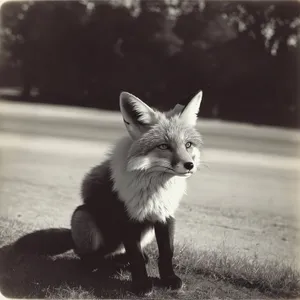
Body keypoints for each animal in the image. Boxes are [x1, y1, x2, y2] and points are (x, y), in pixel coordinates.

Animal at [12, 90, 204, 296]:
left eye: (188, 145)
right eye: (163, 146)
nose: (189, 165)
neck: (155, 189)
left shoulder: (165, 215)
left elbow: (167, 253)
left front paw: (169, 278)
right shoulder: (126, 218)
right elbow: (135, 258)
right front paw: (141, 285)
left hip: (144, 233)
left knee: (122, 254)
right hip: (83, 217)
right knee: (89, 258)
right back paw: (107, 264)